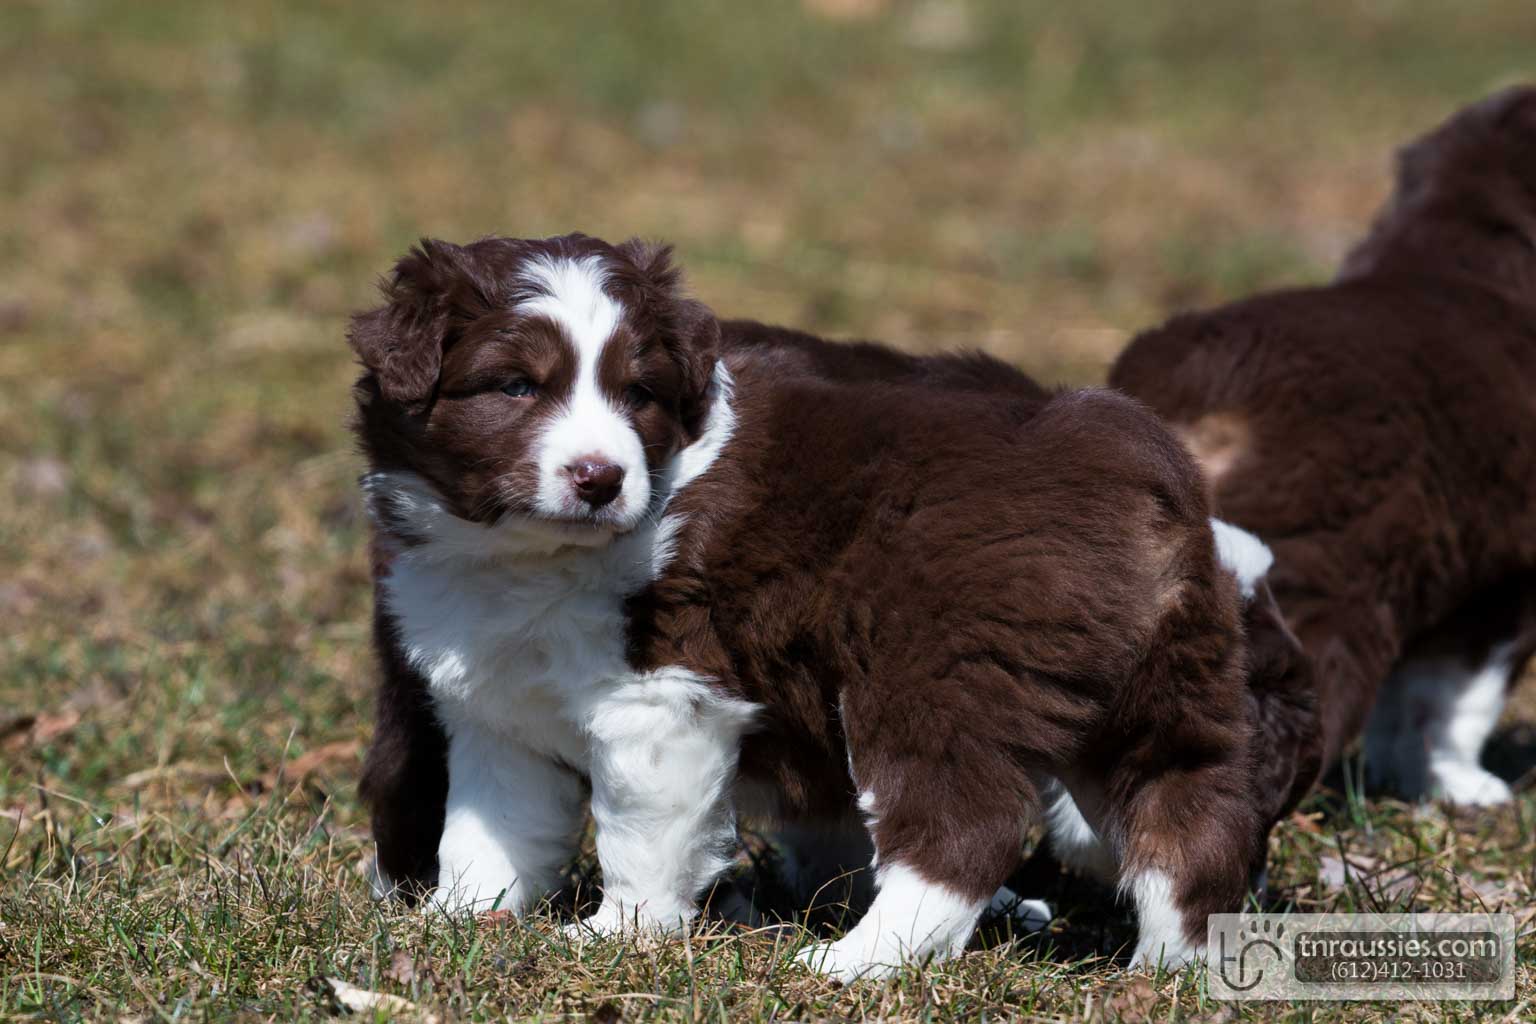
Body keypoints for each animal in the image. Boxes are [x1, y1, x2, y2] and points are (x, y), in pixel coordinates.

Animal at [352, 233, 1277, 977]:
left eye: (638, 394)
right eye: (513, 387)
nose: (599, 477)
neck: (526, 557)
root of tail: (1131, 462)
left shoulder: (664, 700)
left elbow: (639, 834)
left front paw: (616, 935)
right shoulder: (498, 709)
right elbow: (492, 828)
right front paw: (455, 920)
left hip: (933, 672)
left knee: (961, 825)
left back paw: (856, 962)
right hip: (1162, 683)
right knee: (1190, 816)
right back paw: (1170, 972)